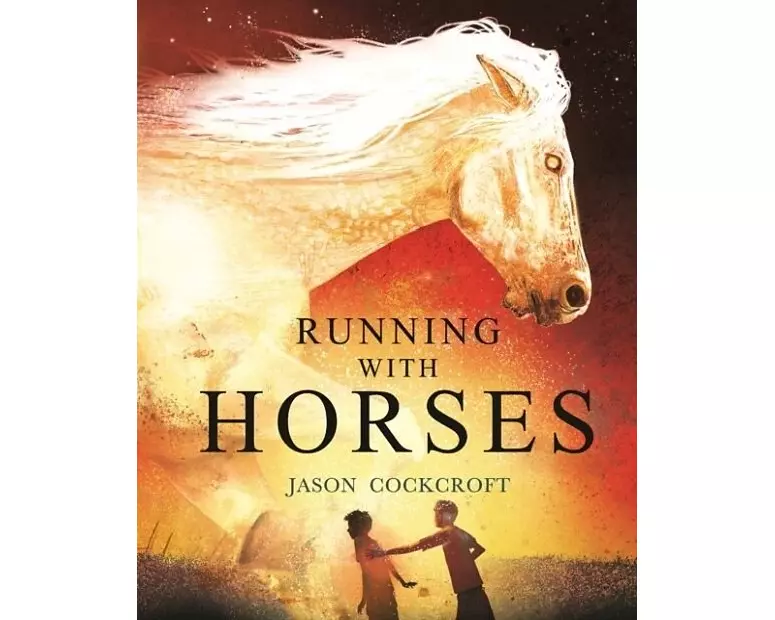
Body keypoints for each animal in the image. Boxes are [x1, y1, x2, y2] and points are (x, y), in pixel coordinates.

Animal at [137, 17, 591, 577]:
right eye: (553, 162)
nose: (576, 294)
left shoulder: (191, 446)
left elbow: (261, 522)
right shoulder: (199, 391)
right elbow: (388, 432)